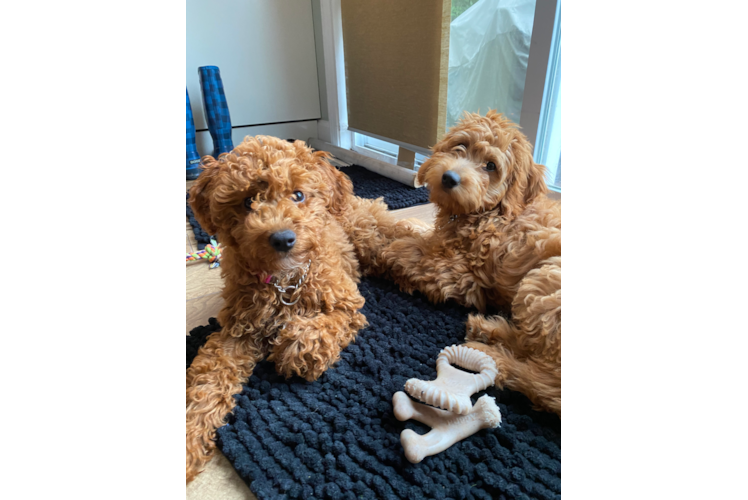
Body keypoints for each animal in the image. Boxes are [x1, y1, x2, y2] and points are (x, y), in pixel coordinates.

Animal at [186, 135, 404, 482]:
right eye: (247, 202)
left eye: (298, 195)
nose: (283, 238)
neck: (284, 280)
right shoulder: (236, 330)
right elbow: (208, 377)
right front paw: (190, 435)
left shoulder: (347, 303)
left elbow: (327, 323)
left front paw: (297, 346)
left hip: (366, 239)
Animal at [382, 112, 560, 414]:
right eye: (460, 146)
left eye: (491, 166)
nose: (449, 177)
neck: (489, 212)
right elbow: (423, 234)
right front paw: (401, 226)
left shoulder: (463, 277)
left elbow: (415, 255)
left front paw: (391, 251)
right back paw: (488, 330)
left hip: (544, 284)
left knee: (547, 384)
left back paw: (493, 356)